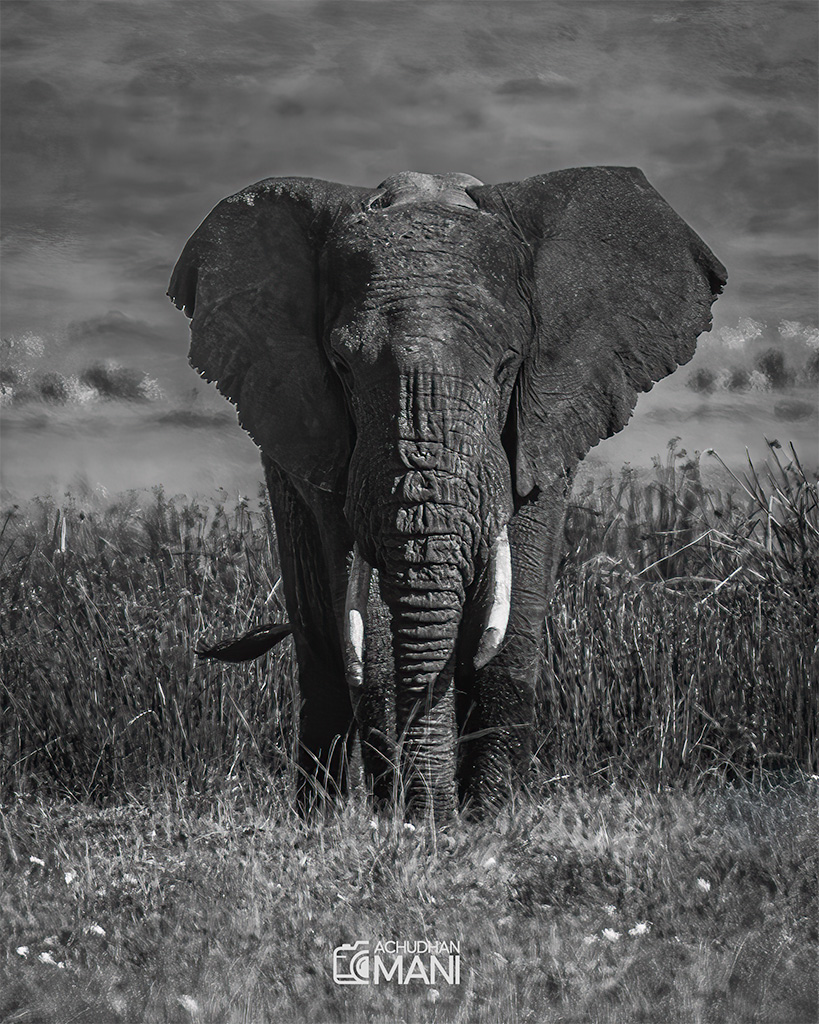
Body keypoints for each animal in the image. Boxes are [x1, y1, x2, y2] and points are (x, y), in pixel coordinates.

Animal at [169, 167, 725, 819]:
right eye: (342, 367)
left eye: (508, 363)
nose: (437, 815)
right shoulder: (332, 441)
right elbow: (369, 630)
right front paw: (413, 818)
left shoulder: (540, 426)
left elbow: (511, 623)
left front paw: (489, 817)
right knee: (322, 649)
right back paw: (323, 814)